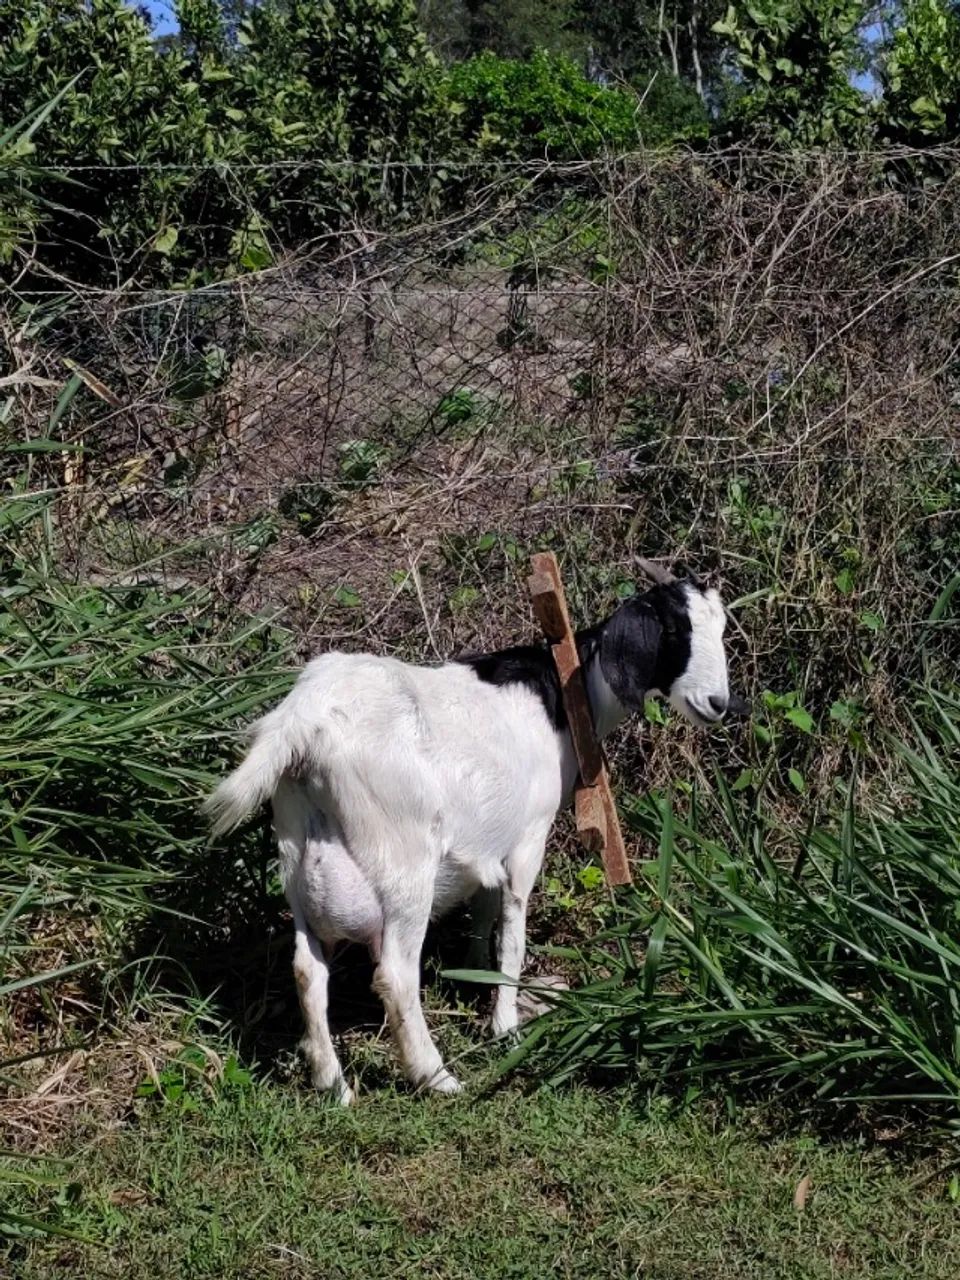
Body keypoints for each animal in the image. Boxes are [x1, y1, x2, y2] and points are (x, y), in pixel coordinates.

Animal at [203, 558, 747, 1103]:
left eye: (720, 628)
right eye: (675, 629)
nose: (718, 703)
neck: (567, 692)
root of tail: (304, 721)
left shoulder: (490, 841)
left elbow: (484, 910)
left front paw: (472, 973)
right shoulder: (529, 836)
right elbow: (513, 931)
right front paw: (505, 1026)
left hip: (298, 858)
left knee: (307, 969)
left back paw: (333, 1083)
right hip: (403, 864)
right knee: (394, 975)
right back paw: (435, 1075)